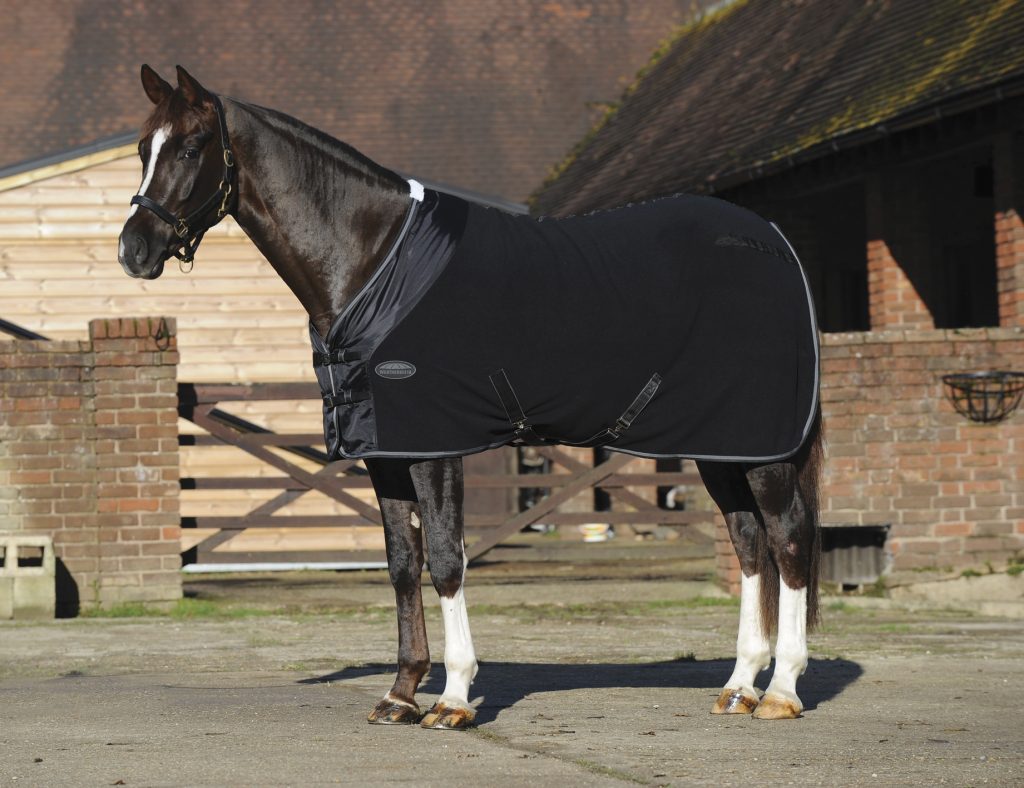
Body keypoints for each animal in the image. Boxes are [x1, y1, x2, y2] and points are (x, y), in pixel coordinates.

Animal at [117, 66, 823, 724]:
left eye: (193, 146)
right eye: (142, 147)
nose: (133, 250)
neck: (376, 260)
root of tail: (779, 245)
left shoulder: (436, 446)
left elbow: (446, 560)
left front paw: (453, 696)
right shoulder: (388, 453)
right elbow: (402, 564)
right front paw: (401, 694)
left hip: (761, 445)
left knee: (787, 538)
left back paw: (781, 690)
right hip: (721, 445)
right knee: (749, 543)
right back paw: (739, 686)